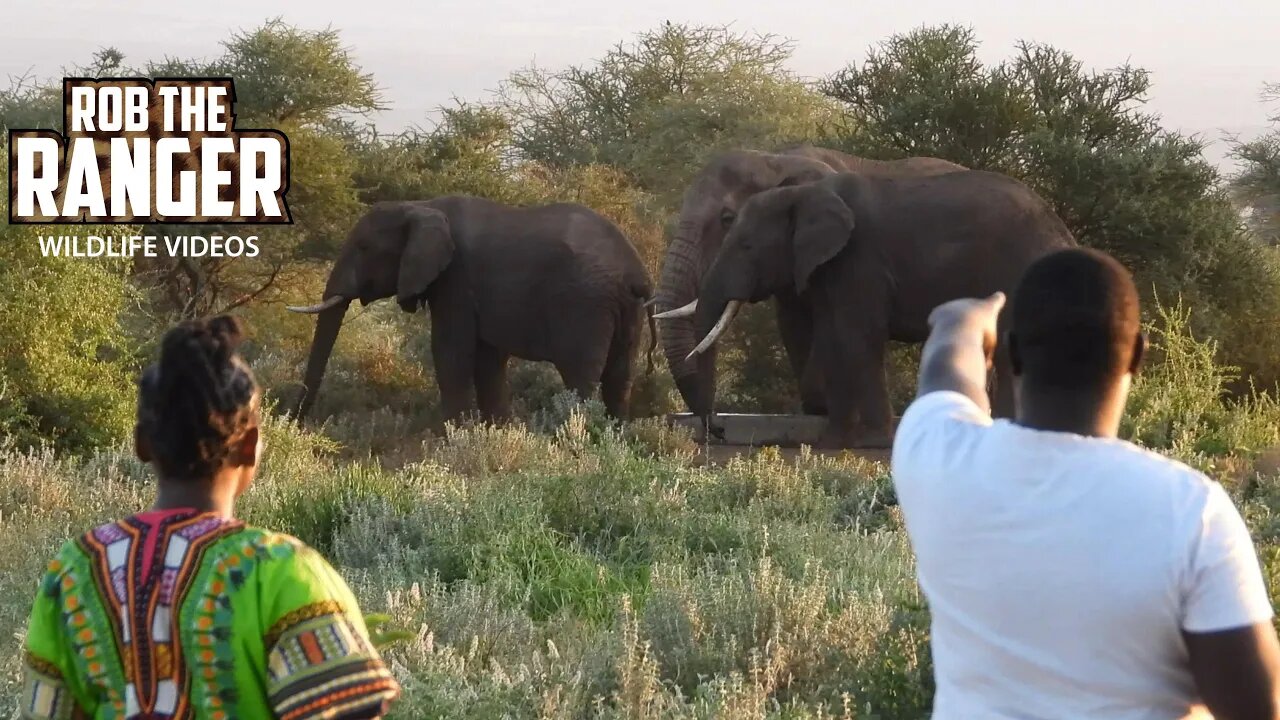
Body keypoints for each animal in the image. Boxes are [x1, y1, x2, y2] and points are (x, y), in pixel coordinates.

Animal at [285, 193, 655, 422]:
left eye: (363, 248)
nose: (293, 420)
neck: (421, 206)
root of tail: (635, 271)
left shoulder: (456, 279)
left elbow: (451, 351)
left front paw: (454, 435)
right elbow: (488, 358)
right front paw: (495, 431)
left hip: (584, 305)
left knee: (581, 377)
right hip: (625, 309)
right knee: (620, 376)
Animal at [650, 142, 962, 427]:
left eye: (727, 219)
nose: (715, 426)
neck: (775, 161)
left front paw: (824, 403)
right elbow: (792, 323)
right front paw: (817, 408)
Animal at [686, 170, 1075, 445]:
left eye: (746, 246)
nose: (717, 431)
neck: (805, 193)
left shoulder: (859, 259)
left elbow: (858, 335)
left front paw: (870, 441)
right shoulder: (827, 267)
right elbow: (831, 336)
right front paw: (832, 442)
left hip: (1018, 270)